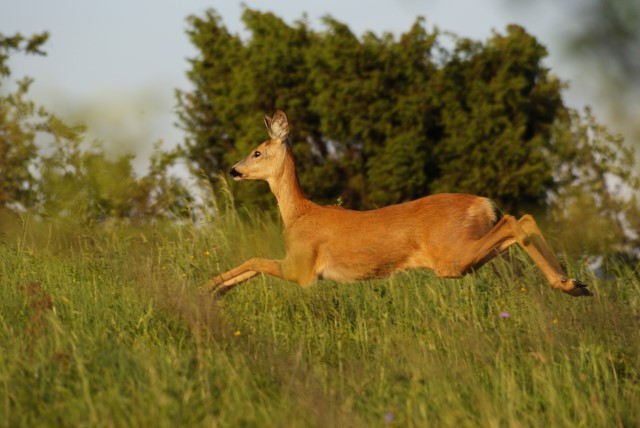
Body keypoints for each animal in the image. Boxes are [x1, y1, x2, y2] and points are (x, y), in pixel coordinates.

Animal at [209, 108, 592, 298]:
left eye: (257, 151)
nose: (233, 170)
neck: (298, 214)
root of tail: (483, 203)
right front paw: (216, 291)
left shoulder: (302, 268)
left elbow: (255, 260)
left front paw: (210, 286)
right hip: (468, 252)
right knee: (520, 222)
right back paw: (574, 284)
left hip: (450, 257)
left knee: (517, 220)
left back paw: (568, 285)